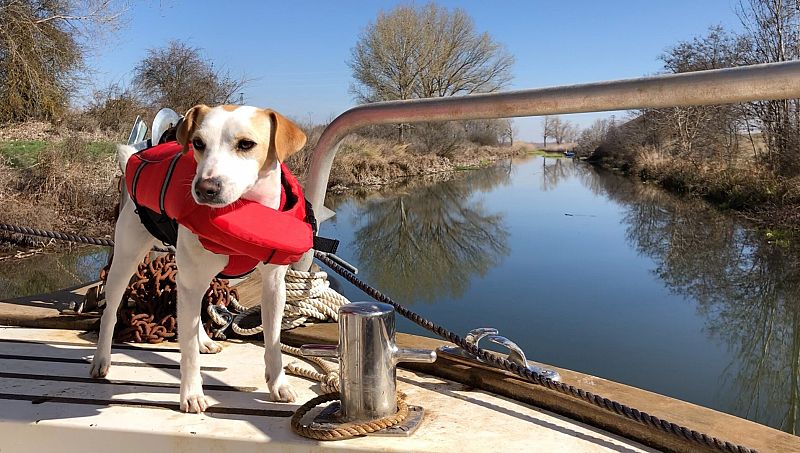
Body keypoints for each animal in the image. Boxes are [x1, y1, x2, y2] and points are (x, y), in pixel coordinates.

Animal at [90, 105, 308, 410]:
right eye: (198, 143)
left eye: (246, 144)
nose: (206, 188)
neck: (242, 210)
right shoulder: (190, 281)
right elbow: (188, 350)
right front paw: (192, 393)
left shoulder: (274, 285)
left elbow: (273, 339)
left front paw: (278, 384)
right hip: (125, 260)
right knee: (111, 312)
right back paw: (102, 359)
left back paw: (203, 339)